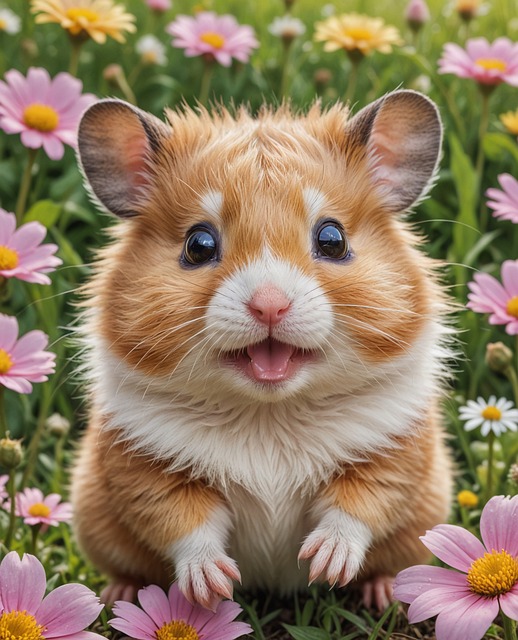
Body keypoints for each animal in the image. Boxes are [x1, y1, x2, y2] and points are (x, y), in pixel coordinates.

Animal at [71, 90, 453, 612]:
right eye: (198, 244)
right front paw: (213, 588)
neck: (268, 410)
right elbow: (183, 522)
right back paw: (118, 595)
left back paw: (384, 593)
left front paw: (324, 565)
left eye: (332, 239)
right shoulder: (143, 467)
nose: (269, 305)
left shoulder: (395, 455)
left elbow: (359, 506)